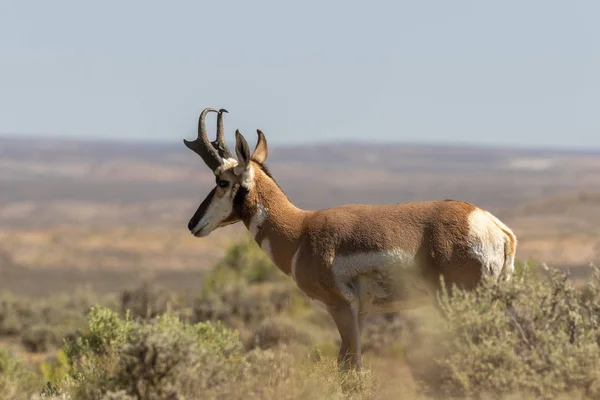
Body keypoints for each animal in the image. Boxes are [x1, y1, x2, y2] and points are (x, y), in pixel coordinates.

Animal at [183, 108, 516, 372]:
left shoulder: (341, 308)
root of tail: (493, 225)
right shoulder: (362, 315)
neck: (301, 229)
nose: (192, 224)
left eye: (221, 181)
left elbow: (349, 369)